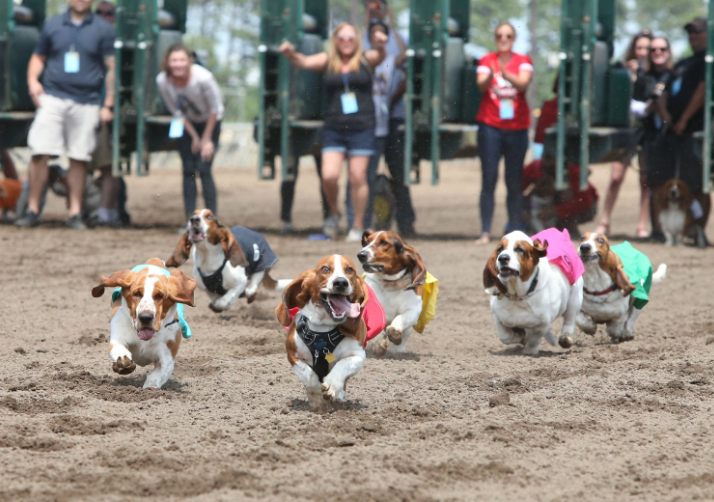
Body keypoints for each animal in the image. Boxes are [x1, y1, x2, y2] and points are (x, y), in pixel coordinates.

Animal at [93, 258, 197, 388]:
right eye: (137, 293)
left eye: (160, 295)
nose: (145, 317)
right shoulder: (118, 338)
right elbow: (119, 349)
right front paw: (123, 362)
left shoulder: (167, 357)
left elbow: (156, 377)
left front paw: (149, 388)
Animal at [276, 255, 370, 408]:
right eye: (325, 269)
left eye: (349, 269)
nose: (341, 282)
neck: (323, 328)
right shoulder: (292, 355)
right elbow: (308, 374)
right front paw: (316, 397)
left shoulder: (358, 355)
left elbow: (342, 364)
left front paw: (331, 386)